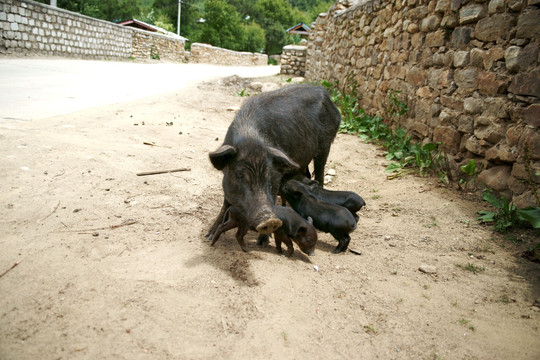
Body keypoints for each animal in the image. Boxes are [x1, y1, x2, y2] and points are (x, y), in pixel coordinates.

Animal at [207, 83, 342, 245]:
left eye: (268, 174)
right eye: (239, 175)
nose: (270, 220)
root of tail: (327, 95)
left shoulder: (277, 174)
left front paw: (262, 243)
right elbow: (226, 202)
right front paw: (208, 237)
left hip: (326, 143)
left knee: (320, 173)